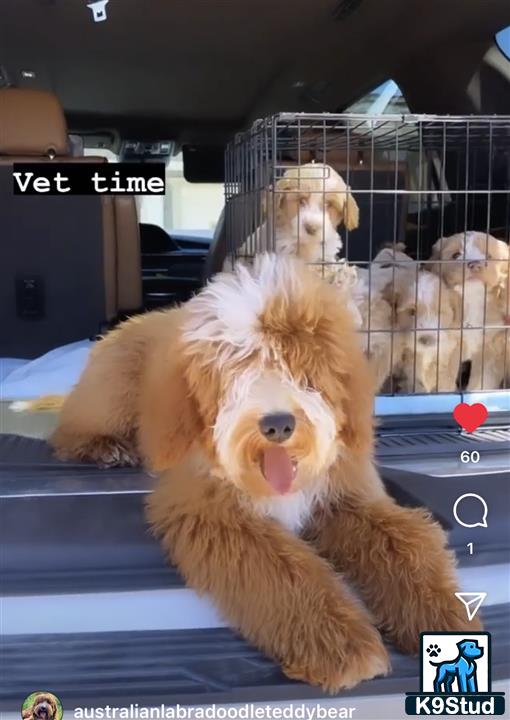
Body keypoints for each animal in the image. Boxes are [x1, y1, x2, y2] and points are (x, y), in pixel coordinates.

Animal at [50, 253, 478, 692]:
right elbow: (279, 570)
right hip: (111, 393)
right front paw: (343, 648)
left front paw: (443, 616)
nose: (278, 425)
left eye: (304, 368)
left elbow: (405, 543)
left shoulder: (349, 495)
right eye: (236, 369)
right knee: (69, 429)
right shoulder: (213, 513)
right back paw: (105, 447)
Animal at [430, 231, 510, 388]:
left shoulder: (490, 347)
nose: (475, 265)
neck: (472, 300)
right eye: (456, 255)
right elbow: (444, 380)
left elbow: (482, 381)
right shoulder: (449, 346)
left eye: (489, 256)